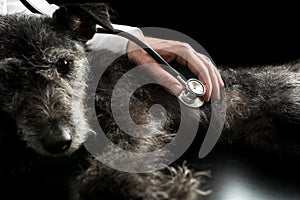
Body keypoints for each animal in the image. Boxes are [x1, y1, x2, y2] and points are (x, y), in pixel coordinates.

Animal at [0, 2, 300, 200]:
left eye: (63, 64)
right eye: (6, 78)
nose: (58, 142)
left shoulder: (134, 119)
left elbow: (107, 174)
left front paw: (171, 189)